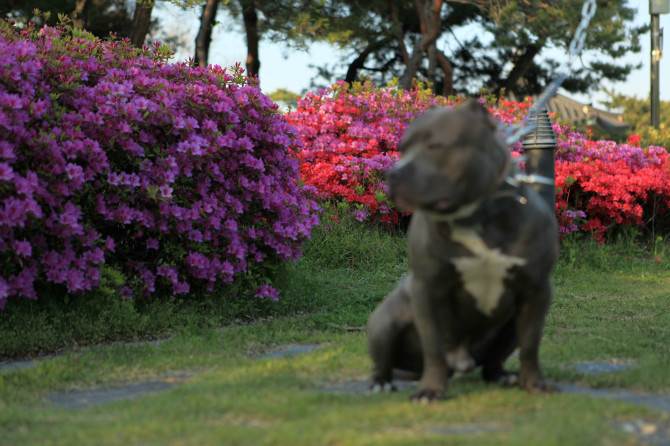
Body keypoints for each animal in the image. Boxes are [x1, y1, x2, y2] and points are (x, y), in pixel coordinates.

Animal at [368, 99, 560, 402]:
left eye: (435, 145)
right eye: (402, 149)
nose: (392, 173)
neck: (475, 218)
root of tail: (460, 363)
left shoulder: (536, 289)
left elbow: (530, 344)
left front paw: (535, 384)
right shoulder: (427, 288)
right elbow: (433, 346)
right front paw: (429, 391)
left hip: (509, 326)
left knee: (495, 359)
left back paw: (503, 376)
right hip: (383, 322)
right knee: (383, 358)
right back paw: (381, 382)